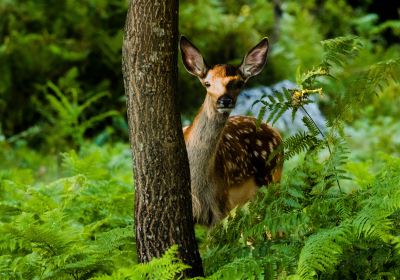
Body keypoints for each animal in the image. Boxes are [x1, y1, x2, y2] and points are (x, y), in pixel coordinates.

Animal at [180, 36, 282, 226]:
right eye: (207, 83)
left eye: (239, 83)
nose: (224, 100)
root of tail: (276, 131)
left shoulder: (221, 206)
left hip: (272, 180)